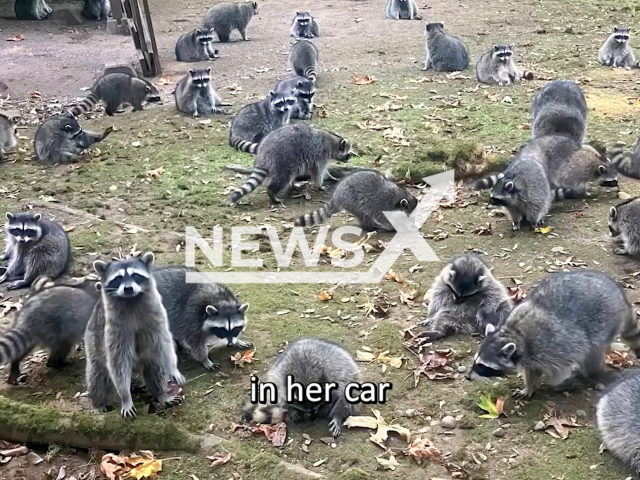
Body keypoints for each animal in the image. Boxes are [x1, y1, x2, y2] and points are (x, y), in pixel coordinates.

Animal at [84, 255, 185, 416]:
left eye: (136, 275)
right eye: (118, 279)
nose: (128, 288)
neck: (131, 299)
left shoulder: (157, 316)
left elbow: (164, 344)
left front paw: (173, 369)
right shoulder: (114, 328)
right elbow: (118, 361)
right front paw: (125, 396)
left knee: (155, 365)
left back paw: (161, 393)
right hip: (93, 340)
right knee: (98, 374)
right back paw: (100, 401)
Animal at [464, 270, 640, 398]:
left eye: (483, 367)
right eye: (475, 361)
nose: (467, 377)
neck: (514, 334)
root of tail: (620, 295)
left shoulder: (556, 345)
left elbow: (561, 369)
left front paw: (560, 382)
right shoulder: (530, 356)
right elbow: (531, 371)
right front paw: (529, 386)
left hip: (606, 320)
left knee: (592, 353)